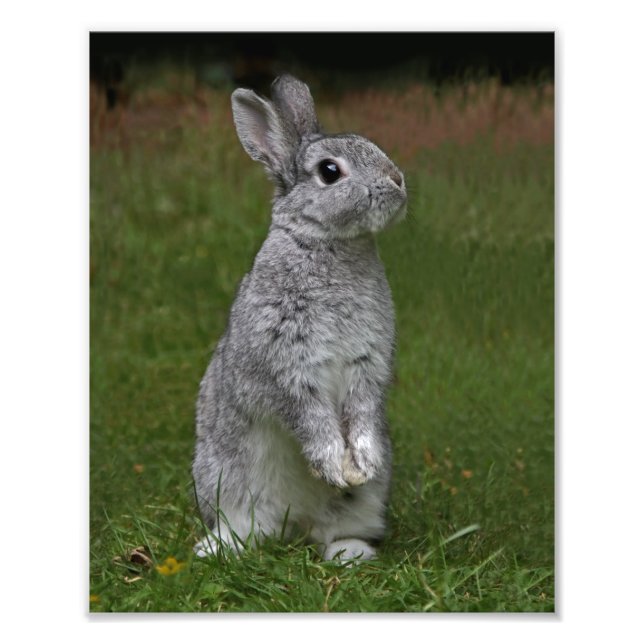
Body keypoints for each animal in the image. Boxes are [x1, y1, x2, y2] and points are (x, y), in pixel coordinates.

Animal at [192, 75, 407, 562]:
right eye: (330, 171)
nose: (397, 181)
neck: (330, 243)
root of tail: (295, 524)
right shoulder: (286, 366)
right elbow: (309, 416)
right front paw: (332, 464)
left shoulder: (367, 365)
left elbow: (362, 410)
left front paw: (360, 463)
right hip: (225, 478)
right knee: (244, 525)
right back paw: (217, 549)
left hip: (363, 503)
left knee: (338, 529)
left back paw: (350, 553)